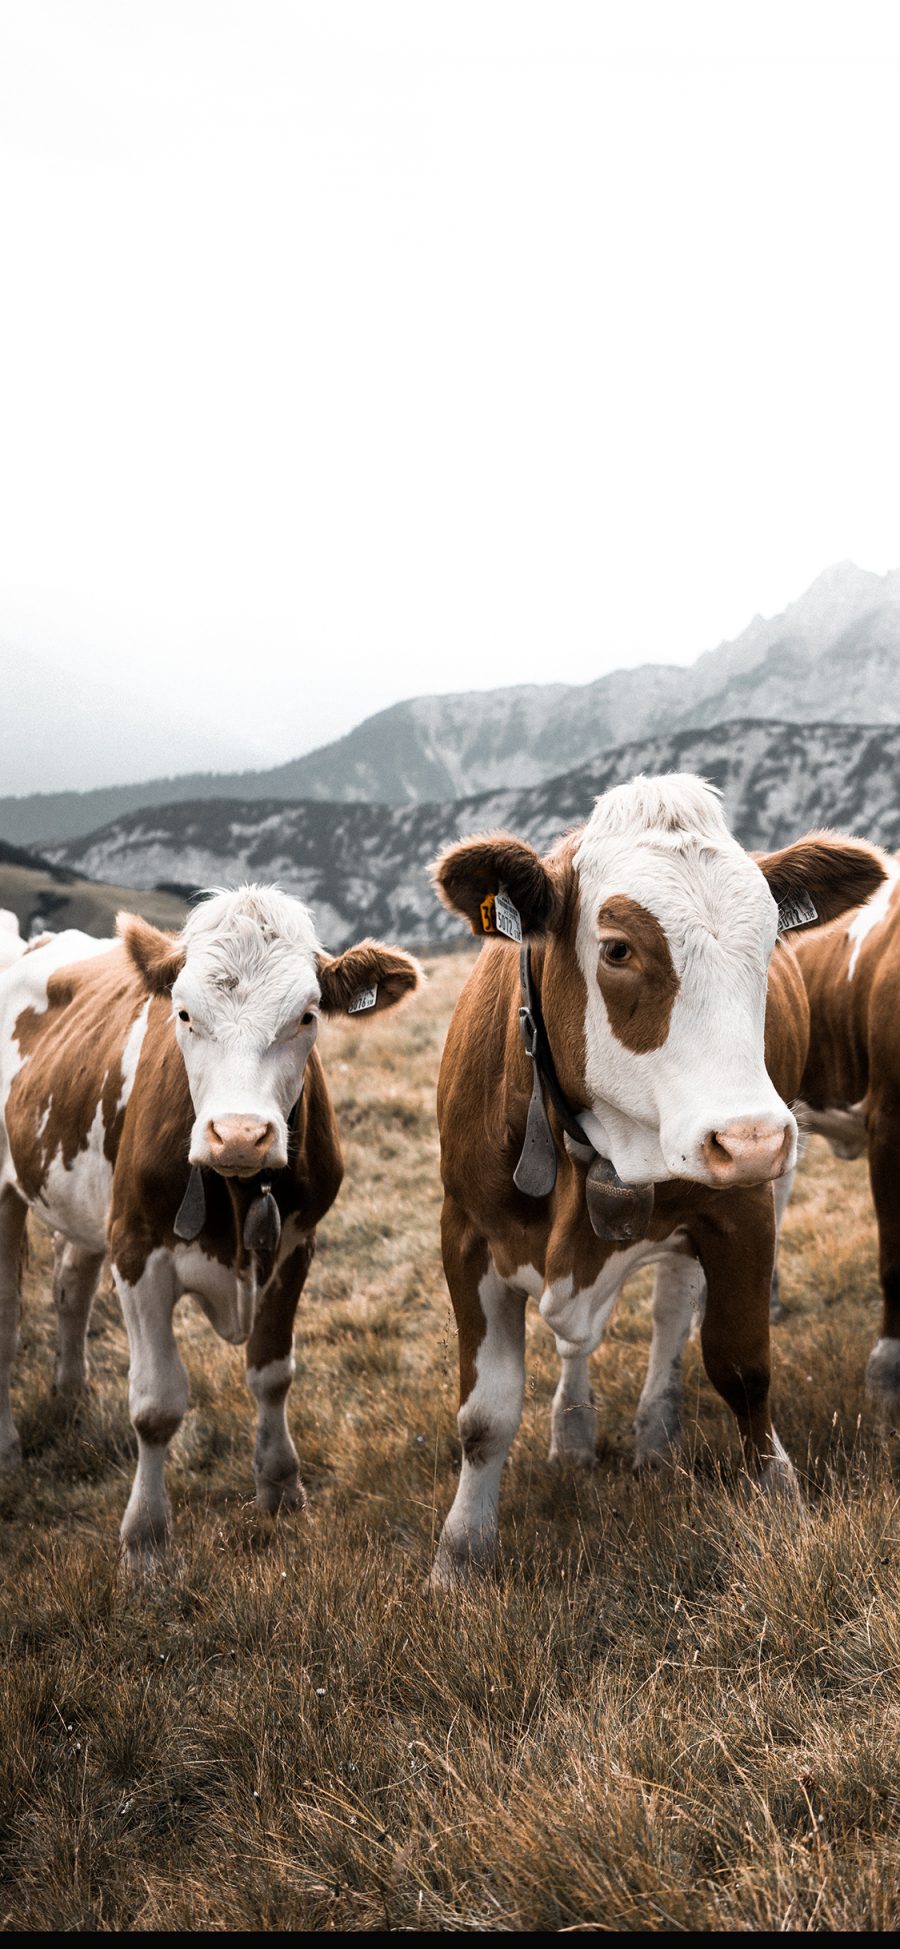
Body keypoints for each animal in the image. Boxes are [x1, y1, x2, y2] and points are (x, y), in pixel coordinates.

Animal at [0, 892, 422, 1559]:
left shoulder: (294, 1248)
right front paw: (145, 1538)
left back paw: (70, 1398)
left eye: (307, 1017)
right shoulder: (137, 1250)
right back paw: (10, 1449)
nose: (240, 1135)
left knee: (70, 1284)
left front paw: (281, 1487)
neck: (236, 1188)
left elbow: (272, 1373)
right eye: (184, 1013)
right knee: (8, 1324)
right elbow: (156, 1405)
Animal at [430, 767, 884, 1574]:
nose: (752, 1138)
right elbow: (484, 1414)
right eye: (617, 949)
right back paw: (575, 1429)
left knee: (673, 1310)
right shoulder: (465, 1230)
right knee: (578, 1342)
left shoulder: (742, 1210)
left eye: (771, 937)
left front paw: (779, 1502)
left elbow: (742, 1366)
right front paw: (461, 1552)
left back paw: (654, 1428)